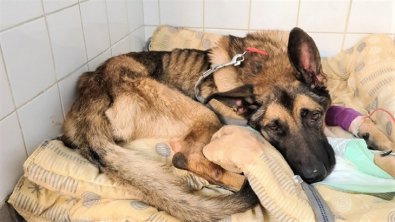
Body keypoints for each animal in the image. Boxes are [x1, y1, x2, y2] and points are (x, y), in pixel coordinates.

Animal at [62, 28, 334, 222]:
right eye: (273, 128)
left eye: (314, 116)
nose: (314, 175)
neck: (264, 69)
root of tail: (95, 83)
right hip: (205, 114)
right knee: (185, 158)